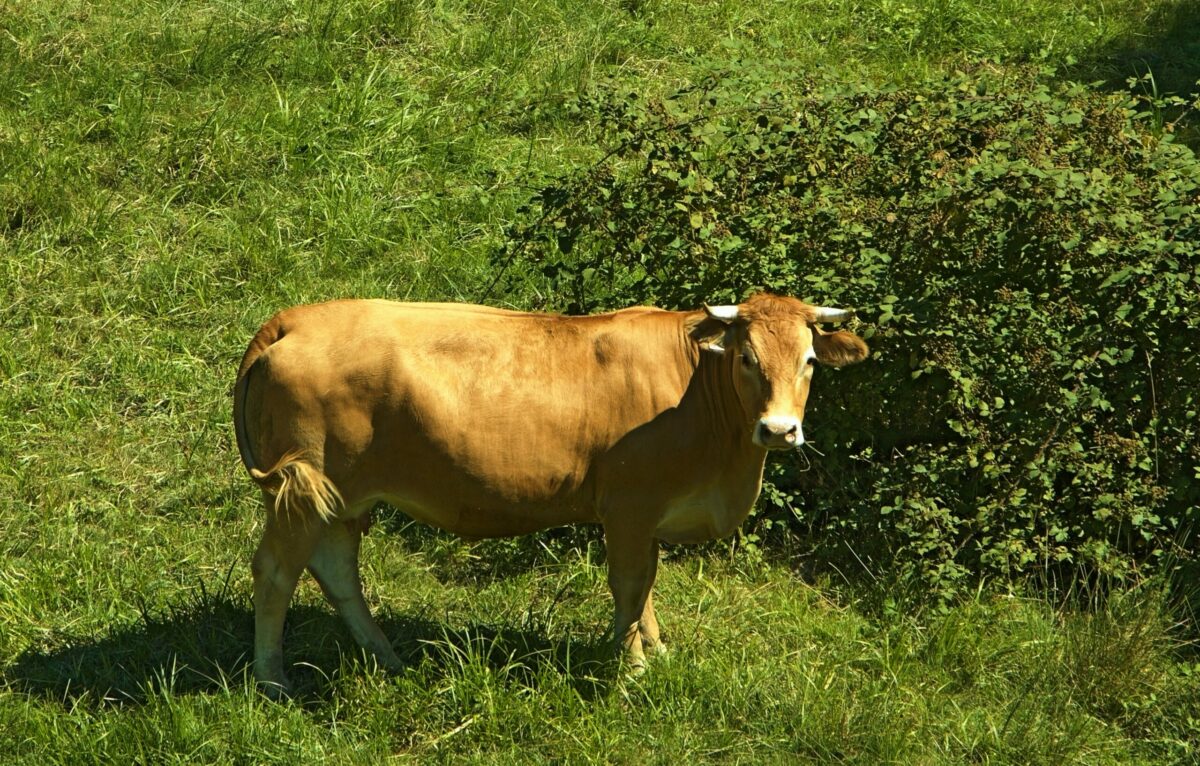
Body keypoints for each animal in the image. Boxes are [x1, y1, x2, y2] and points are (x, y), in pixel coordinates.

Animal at [233, 293, 868, 695]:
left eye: (809, 360)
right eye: (746, 357)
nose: (780, 430)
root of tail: (297, 318)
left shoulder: (646, 513)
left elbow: (648, 586)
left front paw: (656, 652)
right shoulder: (630, 506)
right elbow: (630, 586)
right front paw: (632, 667)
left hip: (339, 499)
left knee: (336, 570)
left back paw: (387, 658)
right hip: (301, 491)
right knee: (276, 572)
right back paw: (273, 679)